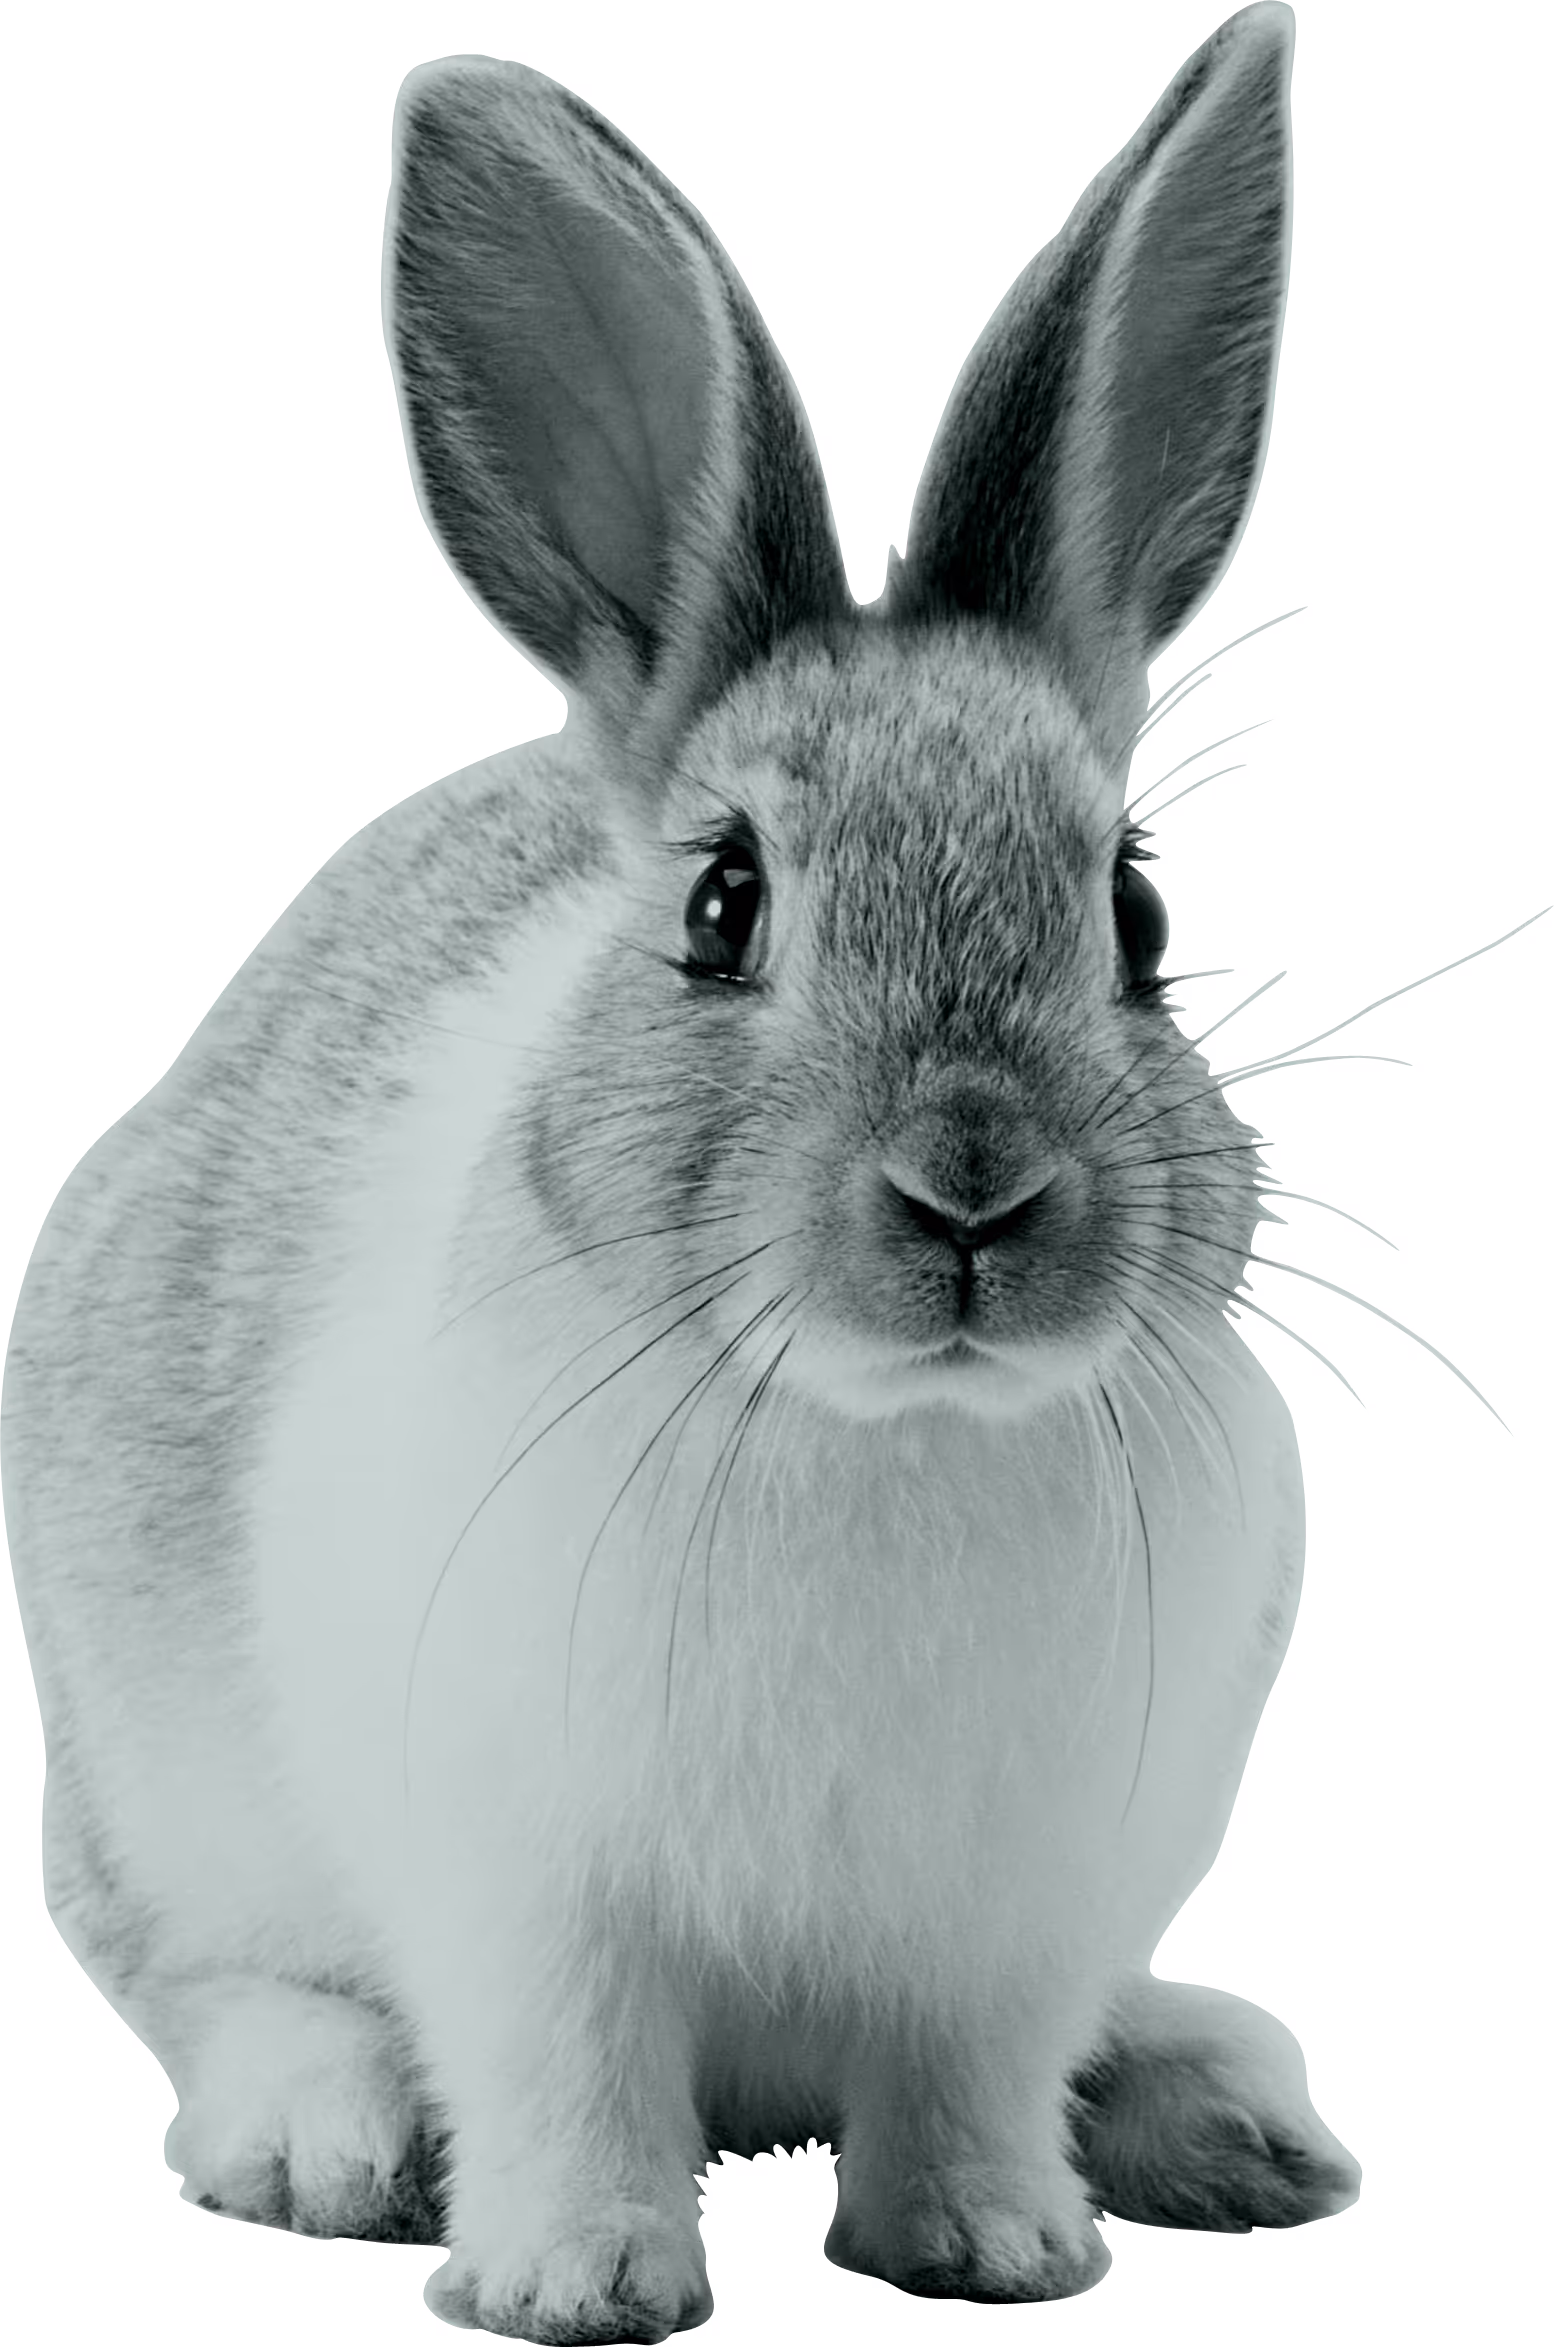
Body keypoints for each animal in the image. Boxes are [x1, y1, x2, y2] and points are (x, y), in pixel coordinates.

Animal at [1, 3, 1365, 2338]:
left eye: (1137, 915)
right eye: (724, 905)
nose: (971, 1192)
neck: (884, 1428)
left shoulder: (1017, 1918)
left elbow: (973, 2079)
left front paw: (997, 2250)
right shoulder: (522, 1889)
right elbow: (563, 2072)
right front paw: (575, 2283)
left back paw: (1228, 2114)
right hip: (143, 1803)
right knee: (201, 1987)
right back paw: (318, 2132)